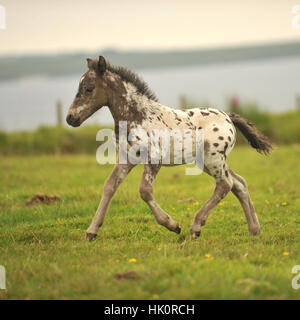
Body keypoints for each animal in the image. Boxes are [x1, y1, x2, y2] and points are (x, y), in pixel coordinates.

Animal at [66, 56, 272, 240]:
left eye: (89, 88)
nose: (70, 118)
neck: (138, 115)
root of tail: (228, 116)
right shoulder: (127, 157)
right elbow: (109, 186)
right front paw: (91, 232)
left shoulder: (154, 158)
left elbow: (144, 190)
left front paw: (173, 225)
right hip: (210, 162)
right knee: (239, 183)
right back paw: (254, 230)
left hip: (212, 158)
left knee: (225, 184)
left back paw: (196, 227)